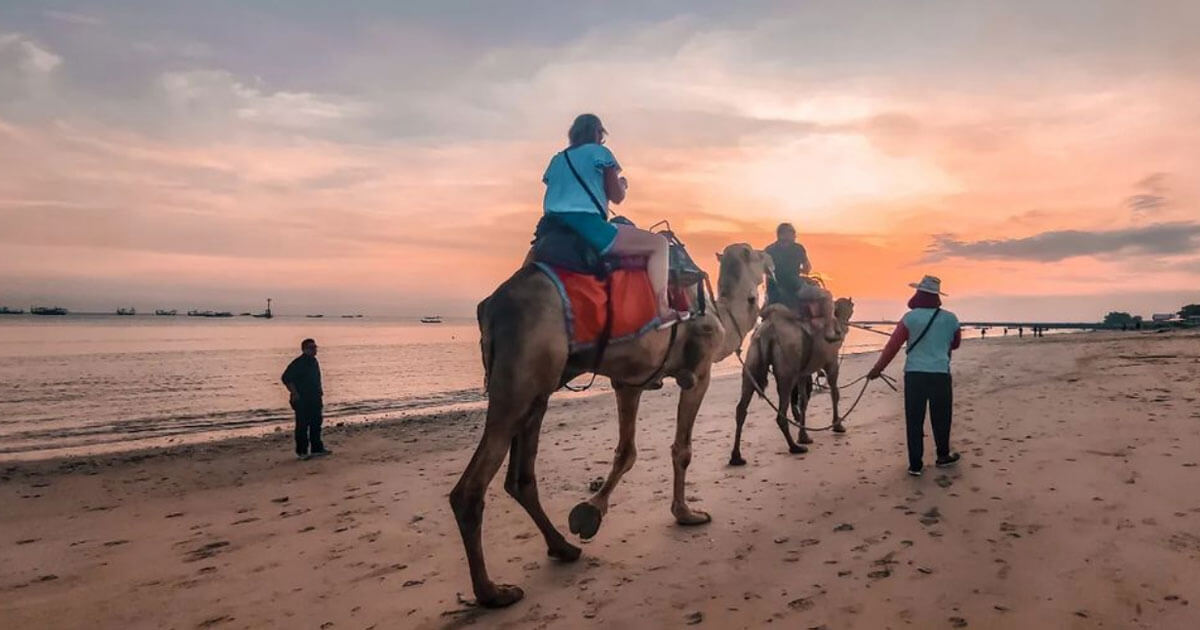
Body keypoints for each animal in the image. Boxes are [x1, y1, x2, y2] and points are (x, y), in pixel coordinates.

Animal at [448, 241, 768, 604]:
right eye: (760, 256)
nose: (772, 261)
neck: (721, 315)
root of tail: (493, 304)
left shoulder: (630, 381)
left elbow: (626, 452)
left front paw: (589, 513)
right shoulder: (698, 374)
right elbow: (681, 449)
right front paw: (687, 514)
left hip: (537, 388)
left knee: (521, 477)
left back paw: (563, 548)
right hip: (520, 375)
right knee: (471, 488)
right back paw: (493, 592)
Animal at [729, 296, 854, 465]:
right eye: (850, 307)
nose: (846, 326)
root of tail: (767, 331)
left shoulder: (802, 374)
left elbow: (803, 401)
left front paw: (804, 436)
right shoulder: (831, 362)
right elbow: (835, 393)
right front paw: (838, 425)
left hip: (752, 360)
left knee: (741, 408)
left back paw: (736, 457)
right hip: (786, 370)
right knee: (781, 412)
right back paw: (795, 447)